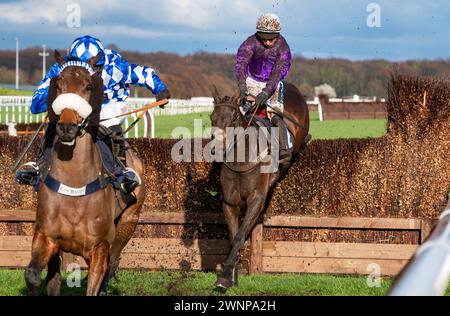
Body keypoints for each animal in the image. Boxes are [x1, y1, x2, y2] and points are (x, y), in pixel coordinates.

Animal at [24, 50, 145, 296]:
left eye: (89, 85)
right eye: (58, 84)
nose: (66, 127)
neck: (74, 185)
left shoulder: (98, 248)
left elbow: (96, 281)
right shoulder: (46, 237)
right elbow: (33, 275)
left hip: (129, 221)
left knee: (113, 261)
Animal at [211, 83, 310, 288]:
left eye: (233, 117)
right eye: (212, 117)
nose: (217, 148)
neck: (241, 159)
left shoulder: (256, 199)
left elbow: (240, 236)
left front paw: (226, 274)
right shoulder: (230, 202)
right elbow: (233, 236)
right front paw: (231, 277)